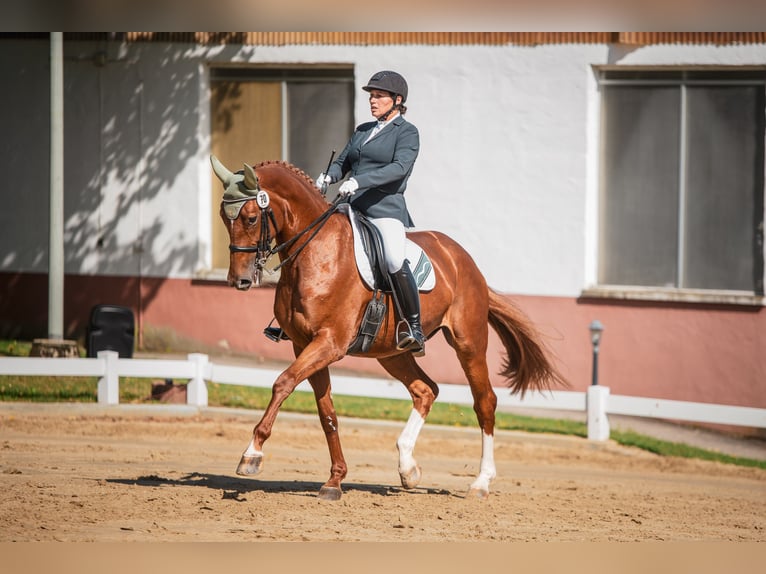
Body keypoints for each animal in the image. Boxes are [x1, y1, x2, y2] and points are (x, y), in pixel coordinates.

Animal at [212, 155, 568, 502]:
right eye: (223, 217)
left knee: (485, 402)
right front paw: (335, 480)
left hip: (468, 342)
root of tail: (464, 259)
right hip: (391, 352)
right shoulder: (304, 344)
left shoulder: (329, 343)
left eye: (251, 218)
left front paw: (252, 455)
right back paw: (408, 467)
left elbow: (282, 383)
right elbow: (327, 413)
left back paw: (480, 482)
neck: (316, 252)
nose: (238, 280)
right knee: (426, 390)